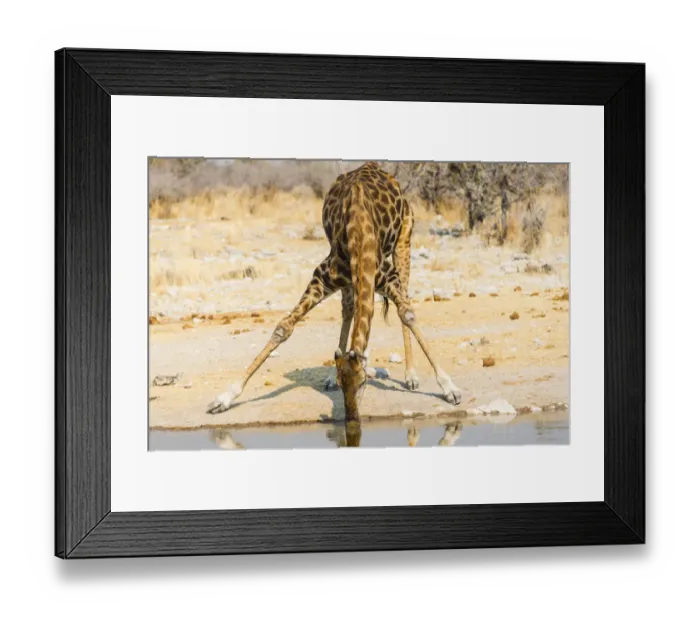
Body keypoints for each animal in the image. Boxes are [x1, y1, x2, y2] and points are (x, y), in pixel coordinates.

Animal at [207, 162, 461, 420]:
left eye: (363, 383)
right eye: (342, 383)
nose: (352, 417)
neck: (360, 235)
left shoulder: (388, 278)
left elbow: (408, 315)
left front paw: (450, 388)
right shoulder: (322, 279)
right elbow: (284, 327)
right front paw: (224, 398)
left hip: (404, 241)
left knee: (402, 303)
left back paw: (411, 375)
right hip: (349, 279)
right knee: (349, 310)